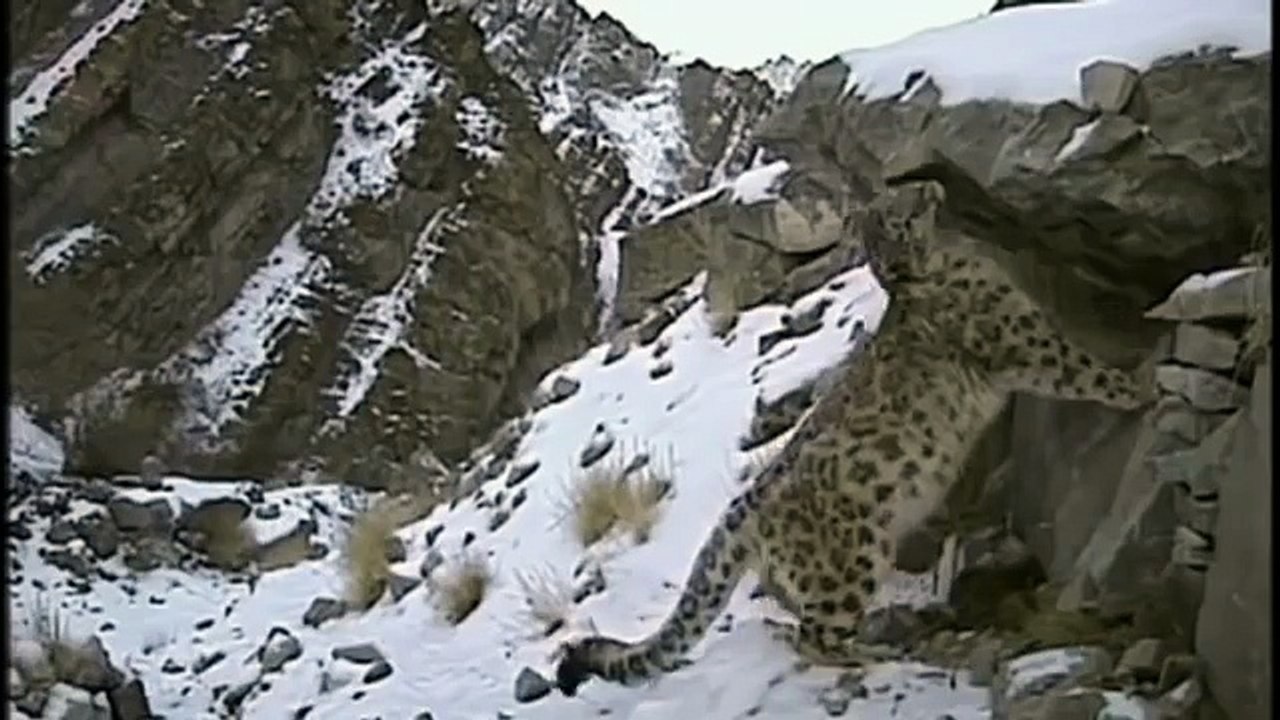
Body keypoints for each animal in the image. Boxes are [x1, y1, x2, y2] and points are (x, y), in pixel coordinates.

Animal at [552, 181, 1156, 696]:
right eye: (897, 208)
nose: (926, 186)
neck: (945, 263)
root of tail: (743, 506)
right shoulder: (1023, 339)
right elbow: (1079, 366)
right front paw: (1141, 384)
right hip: (850, 561)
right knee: (815, 634)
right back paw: (871, 655)